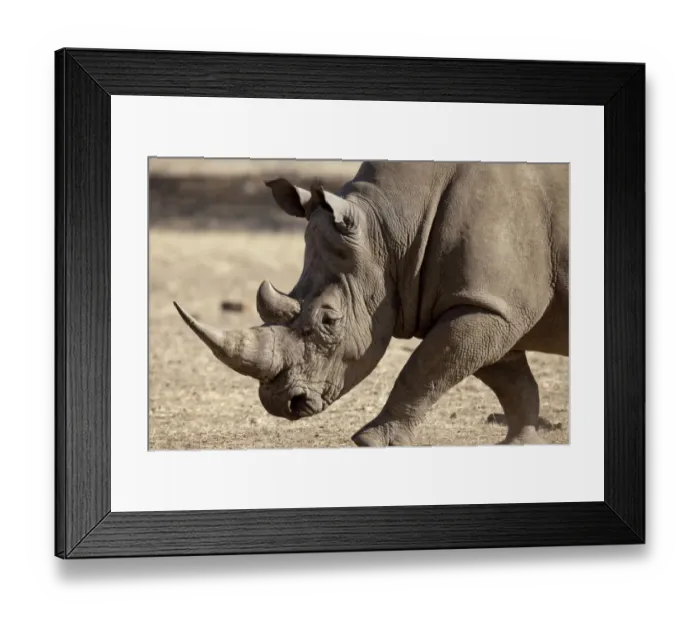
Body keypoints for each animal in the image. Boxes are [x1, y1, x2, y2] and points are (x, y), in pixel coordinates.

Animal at [174, 161, 569, 447]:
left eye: (329, 322)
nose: (282, 403)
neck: (389, 228)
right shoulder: (491, 304)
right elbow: (511, 380)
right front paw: (520, 444)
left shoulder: (487, 304)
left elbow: (424, 369)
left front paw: (370, 441)